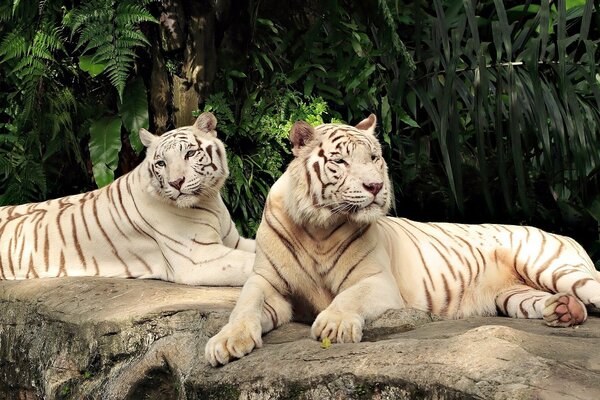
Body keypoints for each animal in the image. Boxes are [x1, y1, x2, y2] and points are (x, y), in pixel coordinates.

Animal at [0, 112, 253, 286]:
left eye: (190, 154)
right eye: (161, 163)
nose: (176, 183)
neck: (209, 199)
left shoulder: (233, 241)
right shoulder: (199, 257)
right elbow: (251, 262)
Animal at [206, 112, 600, 366]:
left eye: (374, 158)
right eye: (341, 162)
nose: (375, 186)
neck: (318, 226)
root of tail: (564, 235)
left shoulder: (377, 281)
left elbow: (349, 296)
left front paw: (335, 324)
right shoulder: (267, 282)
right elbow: (245, 306)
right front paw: (225, 343)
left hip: (553, 267)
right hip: (512, 295)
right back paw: (565, 311)